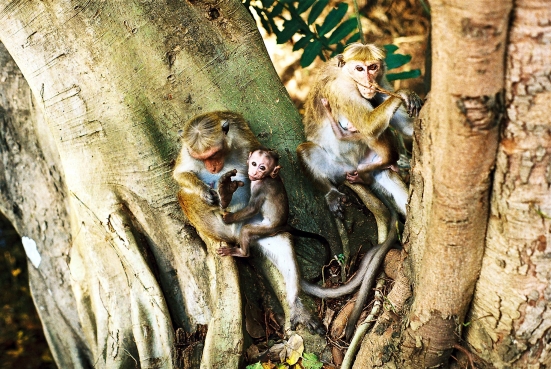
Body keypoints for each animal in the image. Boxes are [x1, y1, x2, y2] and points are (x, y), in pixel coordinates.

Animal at [174, 111, 324, 334]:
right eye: (203, 158)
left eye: (214, 154)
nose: (212, 167)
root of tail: (237, 233)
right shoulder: (186, 151)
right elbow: (180, 174)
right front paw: (205, 192)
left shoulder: (242, 137)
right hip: (227, 226)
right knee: (184, 194)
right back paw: (221, 206)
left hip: (260, 228)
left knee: (283, 249)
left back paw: (296, 305)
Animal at [298, 42, 422, 218]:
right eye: (359, 69)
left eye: (373, 67)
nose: (369, 82)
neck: (346, 75)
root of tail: (353, 167)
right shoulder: (341, 89)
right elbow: (367, 125)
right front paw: (403, 93)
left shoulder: (381, 83)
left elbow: (404, 126)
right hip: (336, 169)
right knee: (305, 151)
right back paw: (331, 192)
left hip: (372, 164)